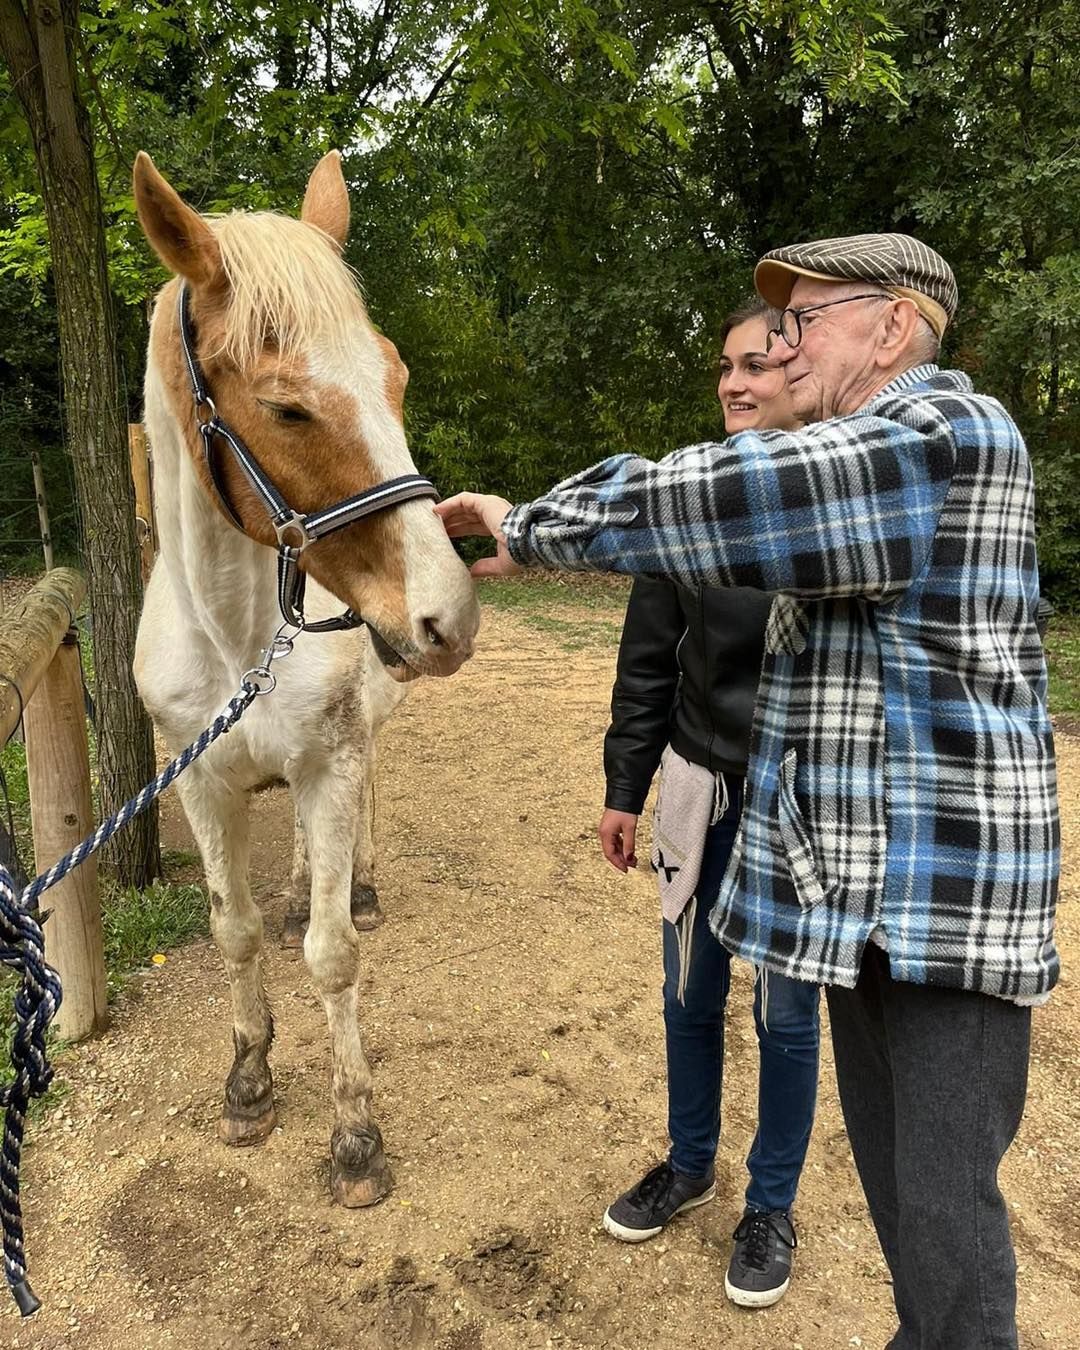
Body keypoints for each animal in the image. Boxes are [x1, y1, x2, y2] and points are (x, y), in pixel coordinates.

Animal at [131, 151, 480, 1207]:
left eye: (395, 375)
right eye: (287, 406)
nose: (447, 615)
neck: (236, 638)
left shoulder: (333, 761)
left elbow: (334, 956)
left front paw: (356, 1138)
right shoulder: (200, 780)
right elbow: (234, 933)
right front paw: (248, 1083)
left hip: (366, 736)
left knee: (361, 822)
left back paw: (353, 885)